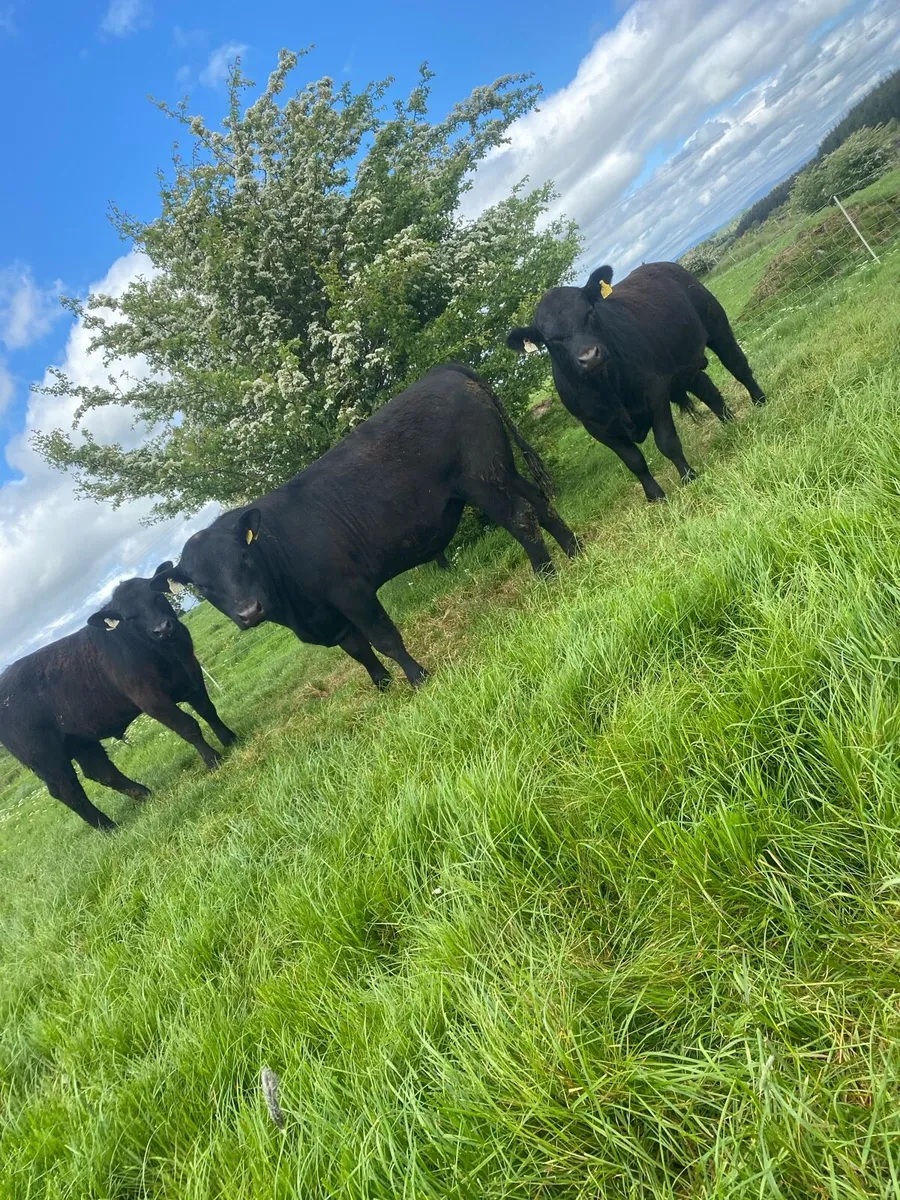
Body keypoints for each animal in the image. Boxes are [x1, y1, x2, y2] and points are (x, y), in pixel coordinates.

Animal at [0, 574, 237, 832]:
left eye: (156, 597)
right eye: (129, 618)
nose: (162, 629)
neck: (166, 653)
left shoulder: (192, 672)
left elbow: (208, 710)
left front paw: (230, 739)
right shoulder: (150, 699)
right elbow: (188, 726)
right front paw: (213, 760)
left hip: (80, 739)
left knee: (100, 771)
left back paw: (144, 794)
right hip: (46, 757)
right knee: (67, 790)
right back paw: (108, 827)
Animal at [152, 363, 580, 690]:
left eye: (244, 557)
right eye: (202, 586)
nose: (249, 611)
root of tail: (444, 371)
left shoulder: (352, 591)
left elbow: (383, 637)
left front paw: (418, 678)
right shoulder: (331, 618)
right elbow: (359, 650)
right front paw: (383, 686)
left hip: (482, 479)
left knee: (522, 518)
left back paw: (546, 576)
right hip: (502, 471)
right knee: (541, 505)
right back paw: (575, 553)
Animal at [506, 261, 767, 502]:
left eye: (589, 313)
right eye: (551, 339)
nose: (590, 356)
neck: (609, 387)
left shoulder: (655, 391)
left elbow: (667, 442)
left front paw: (689, 476)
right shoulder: (596, 425)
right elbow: (634, 461)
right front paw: (655, 496)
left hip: (716, 325)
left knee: (738, 366)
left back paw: (760, 402)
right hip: (682, 368)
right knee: (708, 391)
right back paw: (730, 423)